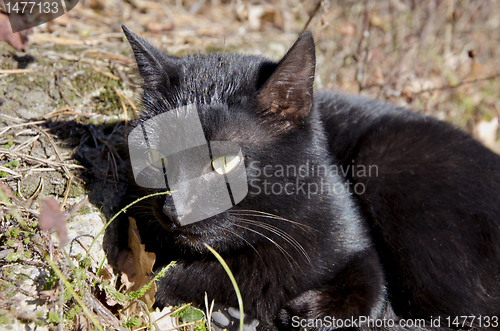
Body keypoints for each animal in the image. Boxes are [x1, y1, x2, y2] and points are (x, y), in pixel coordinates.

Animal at [122, 26, 500, 331]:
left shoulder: (356, 243)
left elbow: (370, 291)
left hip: (386, 158)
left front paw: (306, 313)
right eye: (157, 157)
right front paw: (229, 312)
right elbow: (163, 279)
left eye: (224, 161)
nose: (174, 210)